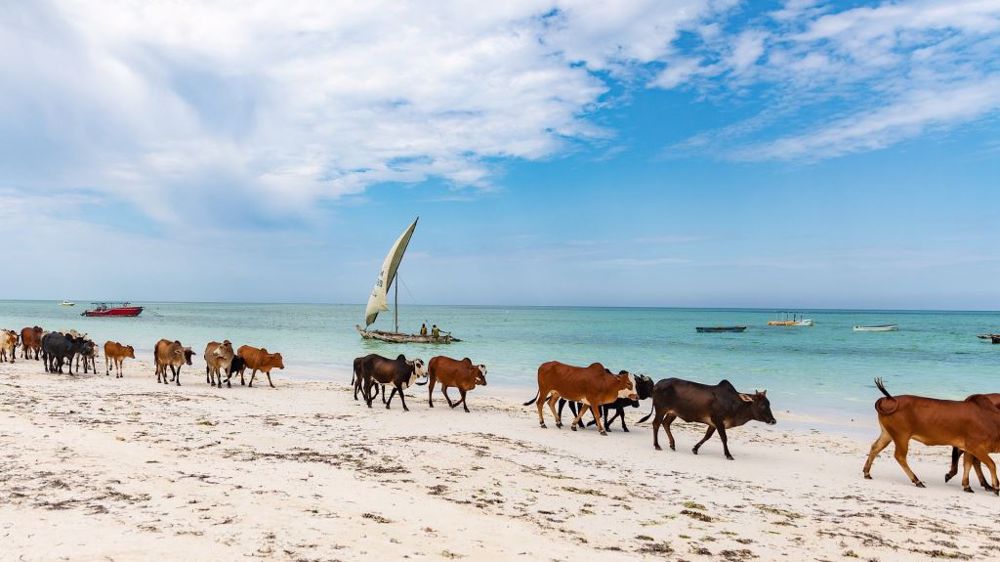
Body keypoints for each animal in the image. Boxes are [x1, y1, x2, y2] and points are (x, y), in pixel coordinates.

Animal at [638, 378, 776, 459]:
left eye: (769, 403)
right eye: (763, 405)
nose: (773, 421)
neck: (735, 404)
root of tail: (657, 384)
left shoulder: (713, 423)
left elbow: (707, 436)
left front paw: (695, 449)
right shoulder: (718, 421)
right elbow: (724, 438)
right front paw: (728, 455)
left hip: (673, 413)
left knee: (666, 424)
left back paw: (672, 444)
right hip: (661, 409)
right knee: (656, 424)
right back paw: (657, 445)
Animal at [863, 379, 1000, 493]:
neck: (991, 420)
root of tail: (891, 399)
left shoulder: (969, 449)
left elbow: (968, 464)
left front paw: (967, 485)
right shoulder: (975, 447)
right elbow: (991, 464)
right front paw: (995, 486)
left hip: (887, 434)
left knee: (875, 447)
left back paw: (867, 472)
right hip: (901, 436)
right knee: (899, 456)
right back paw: (917, 480)